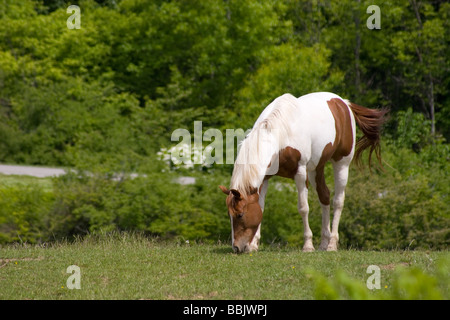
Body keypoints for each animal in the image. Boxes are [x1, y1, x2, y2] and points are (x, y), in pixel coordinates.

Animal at [219, 92, 386, 252]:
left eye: (240, 214)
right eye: (228, 215)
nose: (236, 247)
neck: (281, 135)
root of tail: (344, 103)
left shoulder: (300, 173)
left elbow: (303, 208)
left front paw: (308, 245)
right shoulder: (264, 178)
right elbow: (261, 206)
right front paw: (254, 245)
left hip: (342, 164)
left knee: (338, 201)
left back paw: (332, 244)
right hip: (316, 168)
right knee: (324, 196)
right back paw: (323, 244)